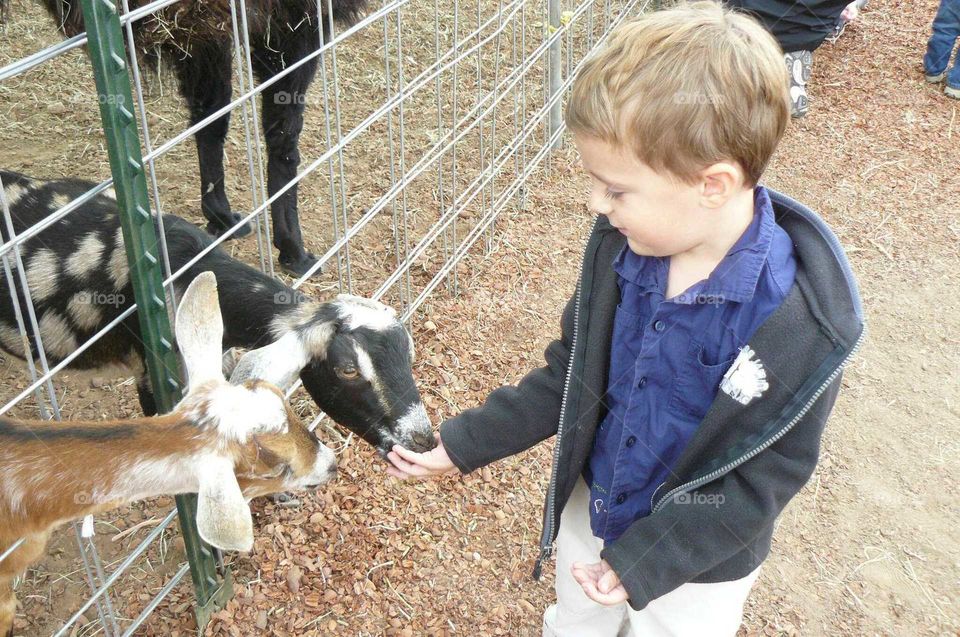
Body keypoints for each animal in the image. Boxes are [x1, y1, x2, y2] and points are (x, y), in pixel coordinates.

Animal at [2, 0, 368, 276]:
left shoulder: (201, 31)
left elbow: (212, 117)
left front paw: (221, 216)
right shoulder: (292, 20)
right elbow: (284, 133)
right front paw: (294, 249)